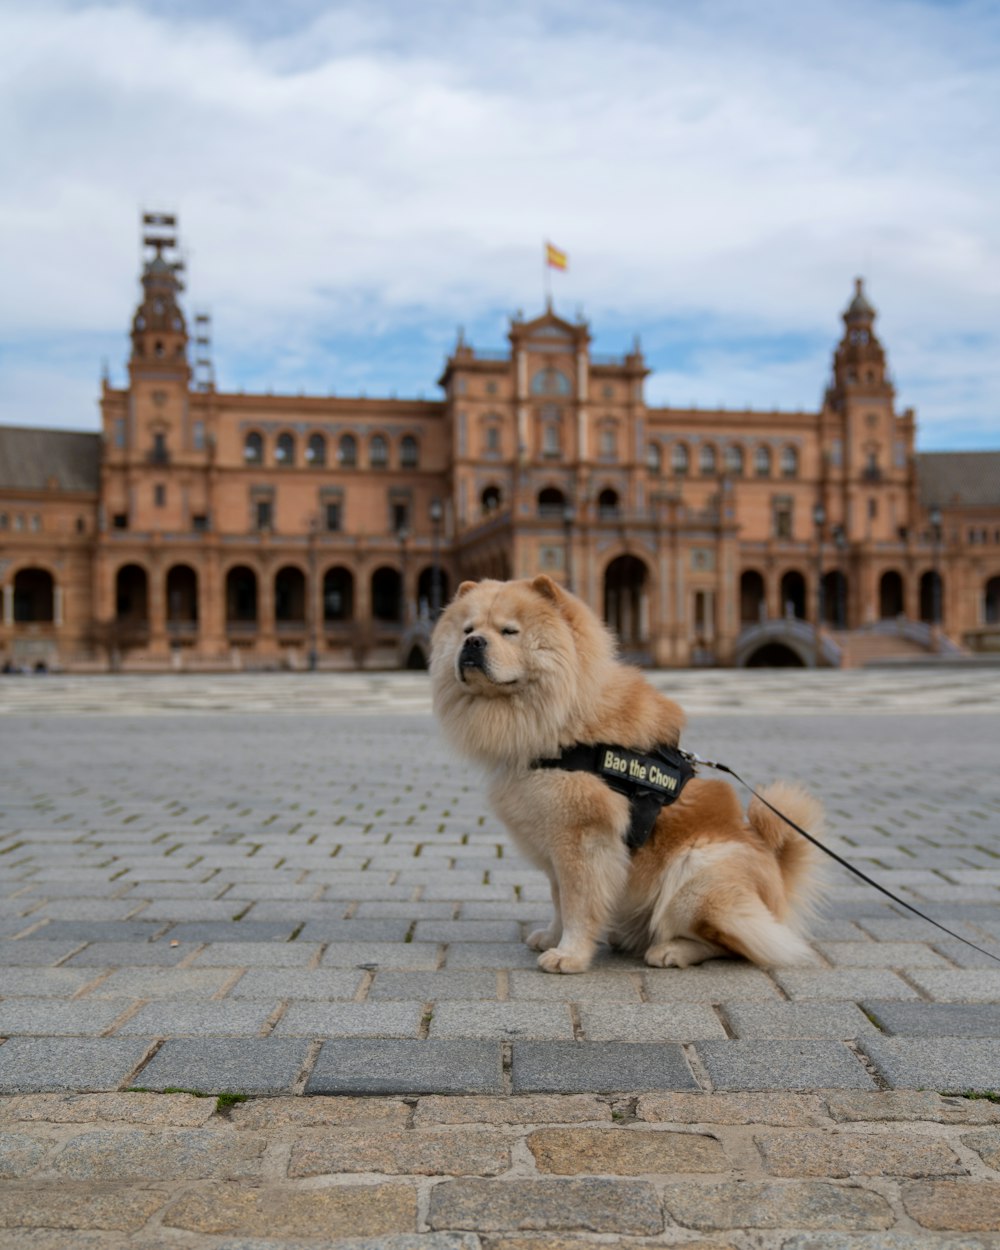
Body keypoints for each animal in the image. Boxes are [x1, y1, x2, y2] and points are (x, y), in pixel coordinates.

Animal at [430, 575, 820, 975]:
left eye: (509, 631)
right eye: (467, 629)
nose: (473, 643)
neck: (562, 720)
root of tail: (778, 882)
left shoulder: (582, 838)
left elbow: (577, 902)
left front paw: (569, 955)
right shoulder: (554, 840)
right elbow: (558, 897)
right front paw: (551, 936)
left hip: (696, 874)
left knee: (736, 944)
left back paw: (670, 951)